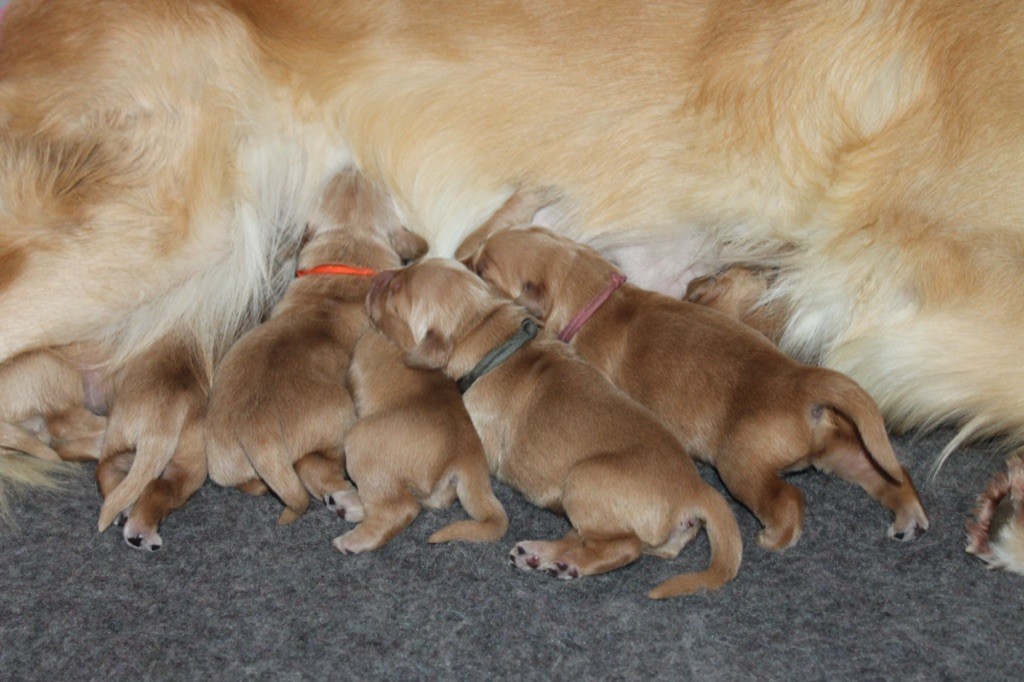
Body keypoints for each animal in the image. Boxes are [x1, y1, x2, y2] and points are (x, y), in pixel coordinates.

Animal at [203, 169, 428, 520]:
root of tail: (257, 431)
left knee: (256, 483)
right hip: (340, 419)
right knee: (312, 467)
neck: (345, 255)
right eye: (380, 188)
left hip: (221, 463)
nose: (352, 167)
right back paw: (347, 500)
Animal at [368, 258, 745, 598]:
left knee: (623, 548)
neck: (488, 333)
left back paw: (567, 563)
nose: (376, 276)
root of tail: (695, 489)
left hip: (583, 479)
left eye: (395, 292)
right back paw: (539, 554)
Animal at [468, 225, 933, 548]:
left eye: (483, 267)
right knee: (888, 472)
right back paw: (909, 517)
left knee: (787, 500)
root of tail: (802, 380)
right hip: (838, 450)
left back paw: (775, 539)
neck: (597, 299)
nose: (463, 255)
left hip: (741, 465)